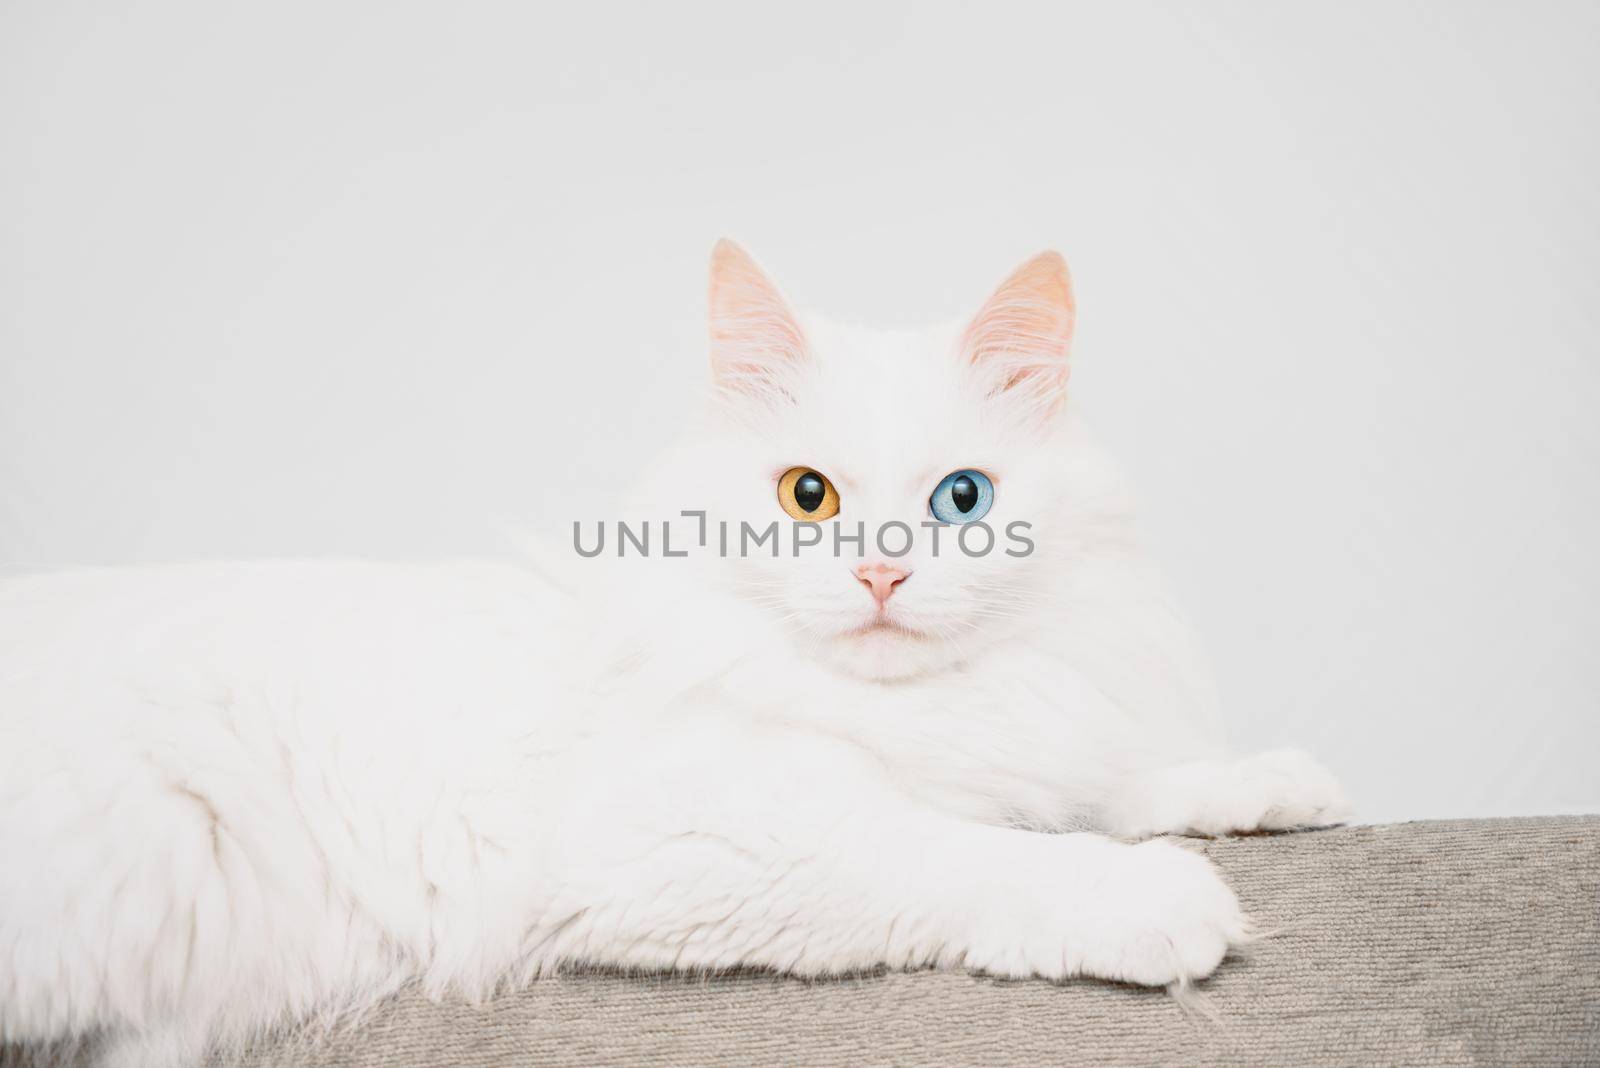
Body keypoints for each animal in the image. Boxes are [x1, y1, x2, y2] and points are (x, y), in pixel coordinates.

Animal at [0, 244, 1350, 1068]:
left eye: (961, 500)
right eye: (807, 497)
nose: (880, 574)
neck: (912, 712)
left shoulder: (1036, 743)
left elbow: (1123, 781)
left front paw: (1276, 789)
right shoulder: (707, 836)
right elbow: (976, 856)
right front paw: (1162, 903)